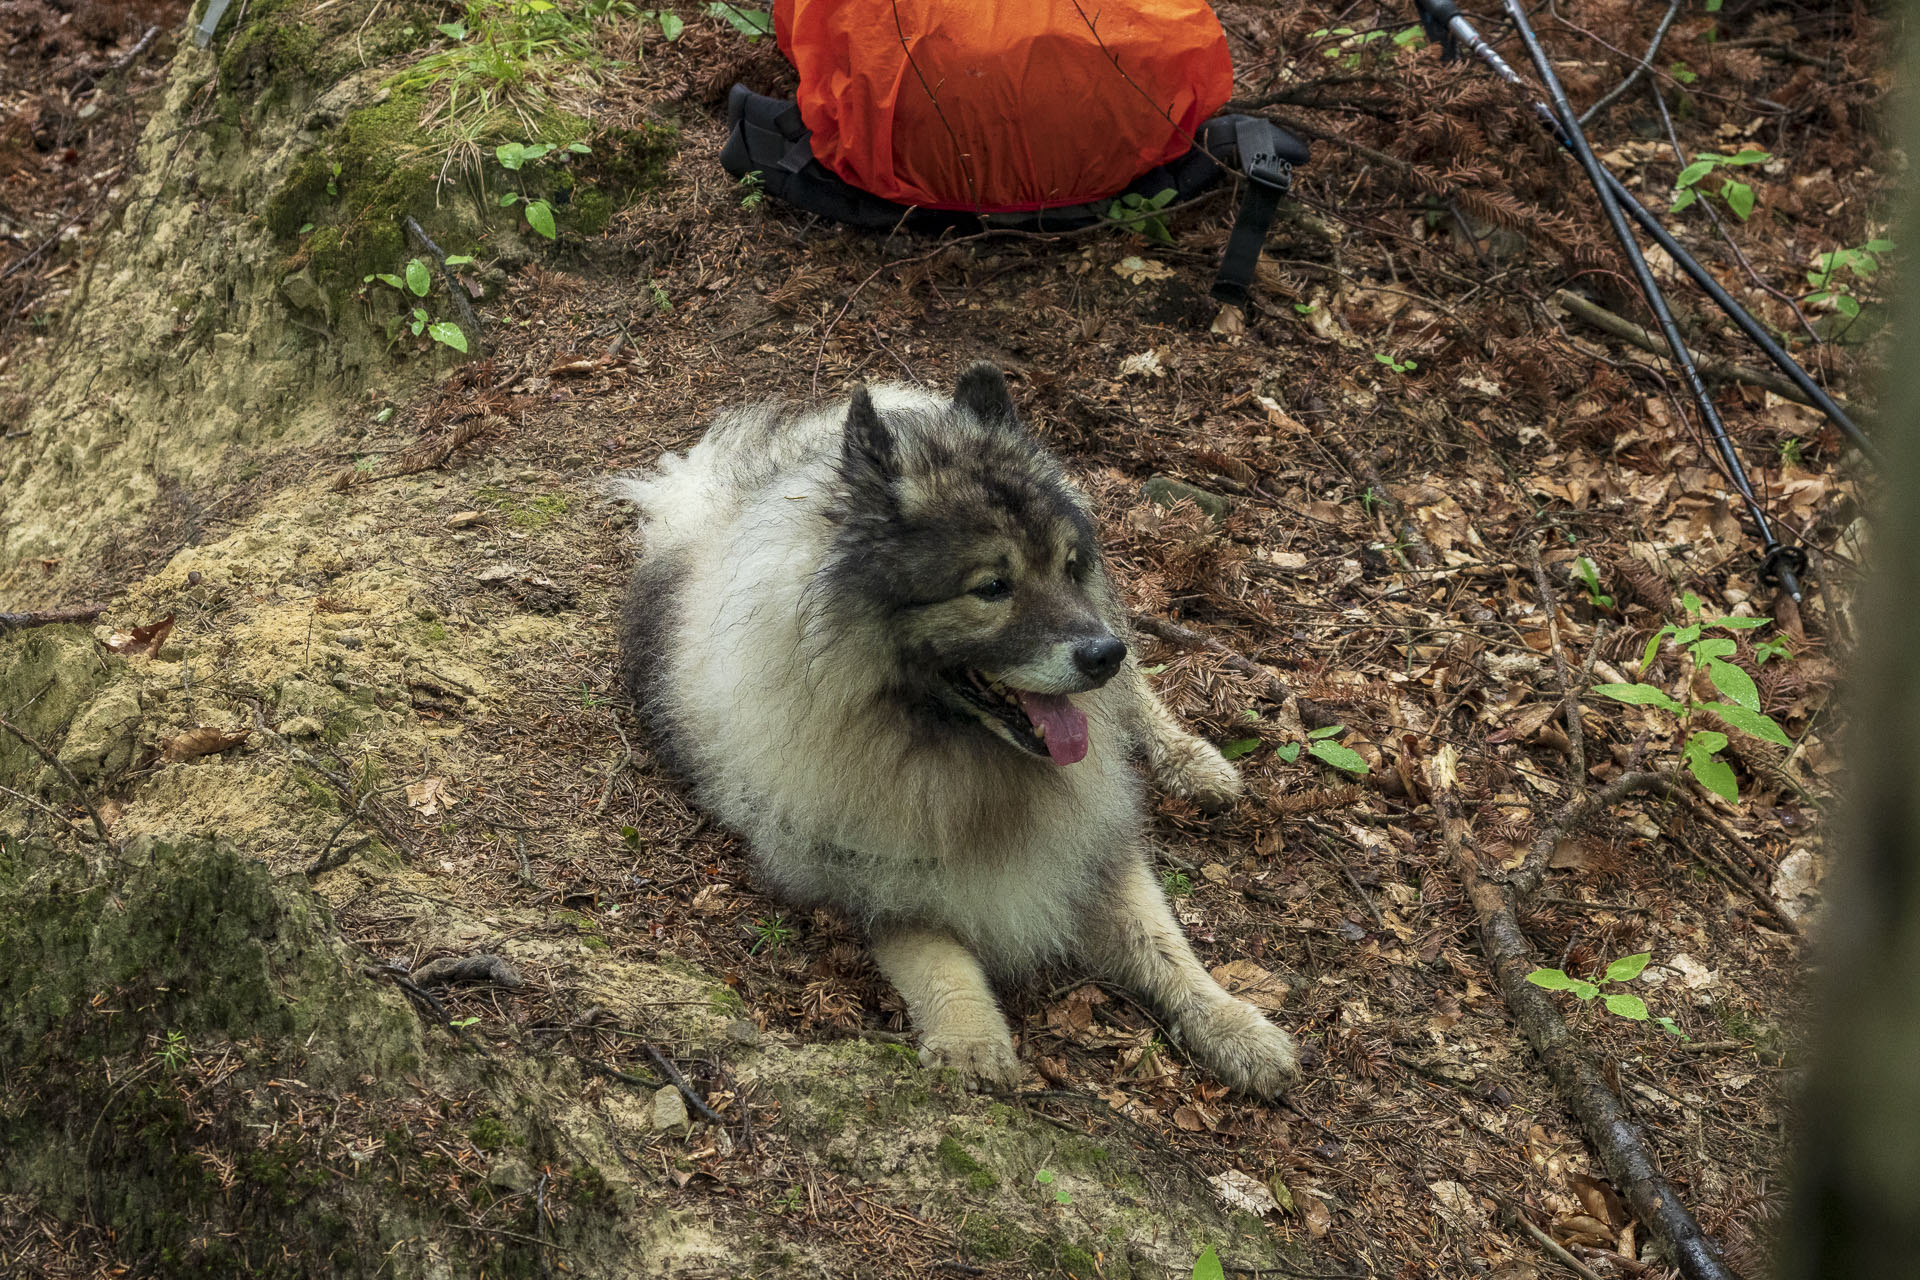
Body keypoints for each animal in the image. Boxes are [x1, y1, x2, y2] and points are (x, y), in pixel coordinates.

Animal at [614, 364, 1297, 1097]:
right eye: (992, 587)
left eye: (1069, 566)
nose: (1101, 655)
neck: (954, 746)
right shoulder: (867, 871)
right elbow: (937, 953)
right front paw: (972, 1040)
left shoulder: (1096, 841)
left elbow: (1166, 943)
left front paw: (1236, 1025)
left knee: (1136, 694)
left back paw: (1191, 758)